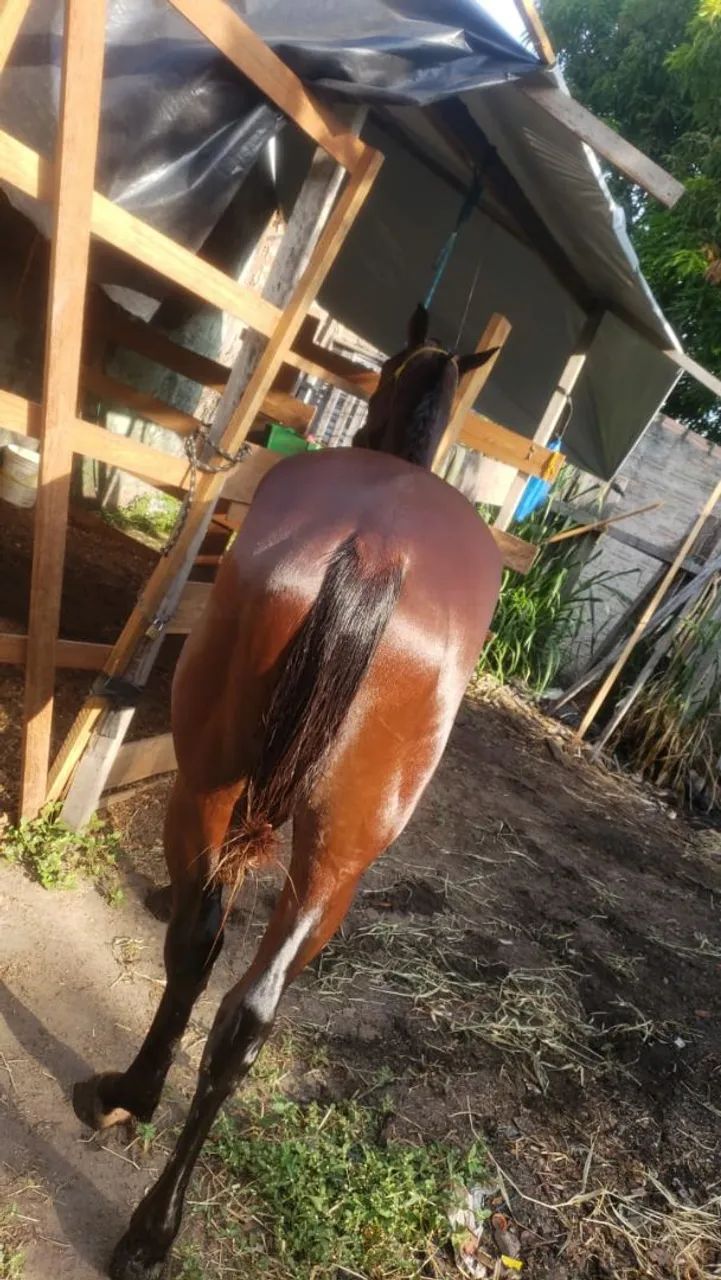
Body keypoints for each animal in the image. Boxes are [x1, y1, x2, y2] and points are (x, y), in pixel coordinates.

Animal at [74, 304, 503, 1279]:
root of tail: (375, 551)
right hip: (333, 851)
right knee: (241, 1007)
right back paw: (151, 1218)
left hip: (211, 786)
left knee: (200, 951)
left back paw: (134, 1116)